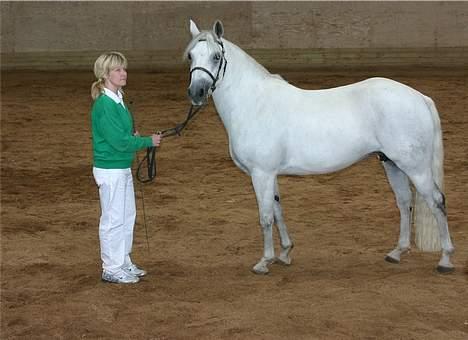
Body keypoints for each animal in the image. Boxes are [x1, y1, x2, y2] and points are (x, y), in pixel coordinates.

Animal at [185, 19, 456, 274]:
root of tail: (420, 97)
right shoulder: (270, 174)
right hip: (392, 163)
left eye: (216, 56)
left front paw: (264, 261)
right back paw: (397, 252)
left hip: (415, 168)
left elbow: (265, 217)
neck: (254, 103)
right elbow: (278, 210)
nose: (196, 92)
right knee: (404, 201)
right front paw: (285, 253)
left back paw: (445, 259)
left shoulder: (261, 173)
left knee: (436, 201)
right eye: (191, 56)